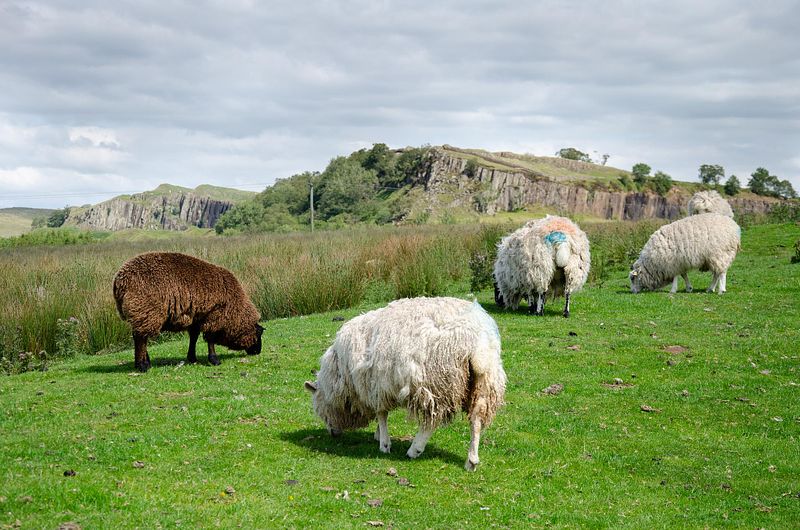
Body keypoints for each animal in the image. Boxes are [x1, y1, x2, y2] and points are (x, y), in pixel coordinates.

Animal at [113, 252, 264, 372]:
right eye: (258, 333)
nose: (258, 352)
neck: (235, 309)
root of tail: (120, 280)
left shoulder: (197, 317)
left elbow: (194, 338)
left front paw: (192, 357)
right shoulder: (214, 316)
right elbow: (210, 339)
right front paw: (214, 360)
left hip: (141, 313)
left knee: (139, 336)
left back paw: (145, 362)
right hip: (146, 310)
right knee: (140, 338)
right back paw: (142, 365)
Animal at [304, 297, 506, 471]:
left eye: (320, 409)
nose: (333, 433)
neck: (341, 374)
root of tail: (478, 340)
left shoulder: (375, 386)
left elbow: (381, 414)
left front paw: (384, 443)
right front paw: (378, 434)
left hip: (437, 381)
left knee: (431, 421)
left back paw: (414, 449)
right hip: (484, 381)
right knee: (476, 419)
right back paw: (471, 460)